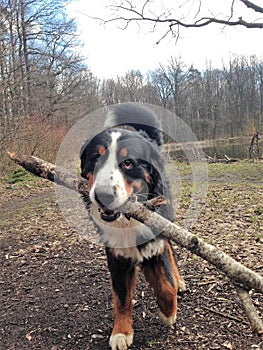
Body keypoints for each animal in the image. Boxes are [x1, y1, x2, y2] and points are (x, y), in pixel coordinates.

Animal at [80, 102, 186, 348]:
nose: (103, 195)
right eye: (96, 159)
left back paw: (178, 279)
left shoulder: (155, 241)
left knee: (171, 250)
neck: (127, 220)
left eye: (128, 163)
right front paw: (121, 331)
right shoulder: (116, 256)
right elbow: (121, 297)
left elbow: (166, 285)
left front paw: (168, 312)